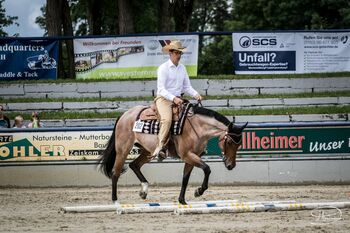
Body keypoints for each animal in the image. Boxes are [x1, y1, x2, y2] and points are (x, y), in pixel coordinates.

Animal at [98, 103, 246, 205]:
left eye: (239, 144)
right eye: (229, 142)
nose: (231, 165)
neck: (197, 127)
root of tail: (124, 115)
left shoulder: (191, 157)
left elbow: (185, 177)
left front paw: (182, 201)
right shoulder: (187, 155)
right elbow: (207, 169)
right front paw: (198, 191)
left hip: (147, 151)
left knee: (134, 165)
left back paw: (144, 190)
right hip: (123, 150)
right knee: (116, 172)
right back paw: (116, 201)